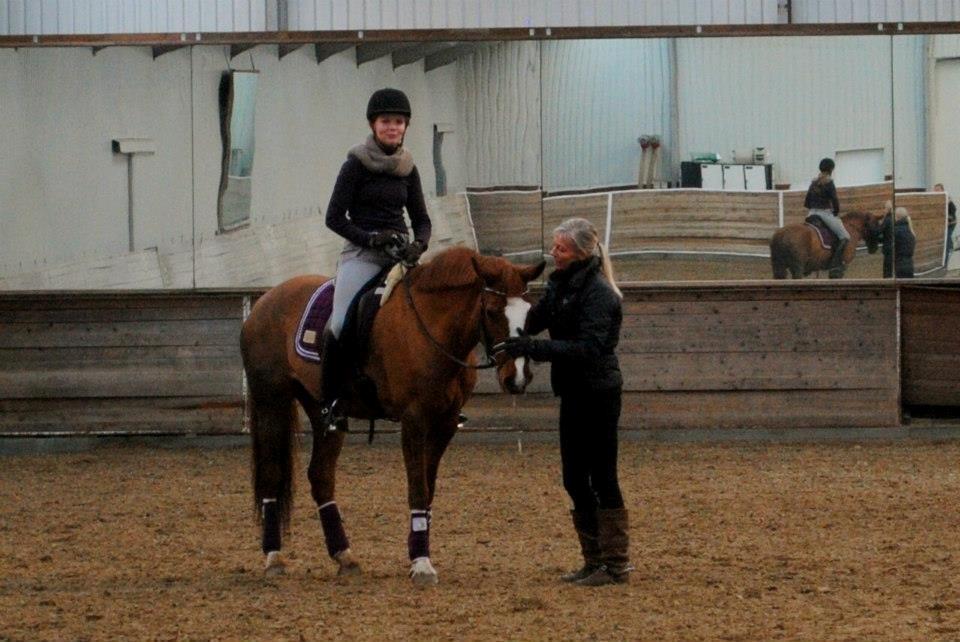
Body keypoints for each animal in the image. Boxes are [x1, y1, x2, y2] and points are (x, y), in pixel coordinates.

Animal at [240, 246, 545, 586]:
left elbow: (428, 488)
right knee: (270, 475)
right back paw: (274, 558)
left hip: (324, 414)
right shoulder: (414, 420)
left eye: (529, 312)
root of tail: (265, 302)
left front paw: (418, 553)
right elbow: (417, 488)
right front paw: (422, 564)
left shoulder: (445, 424)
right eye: (492, 311)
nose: (517, 378)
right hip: (271, 401)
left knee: (320, 477)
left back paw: (345, 557)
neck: (431, 327)